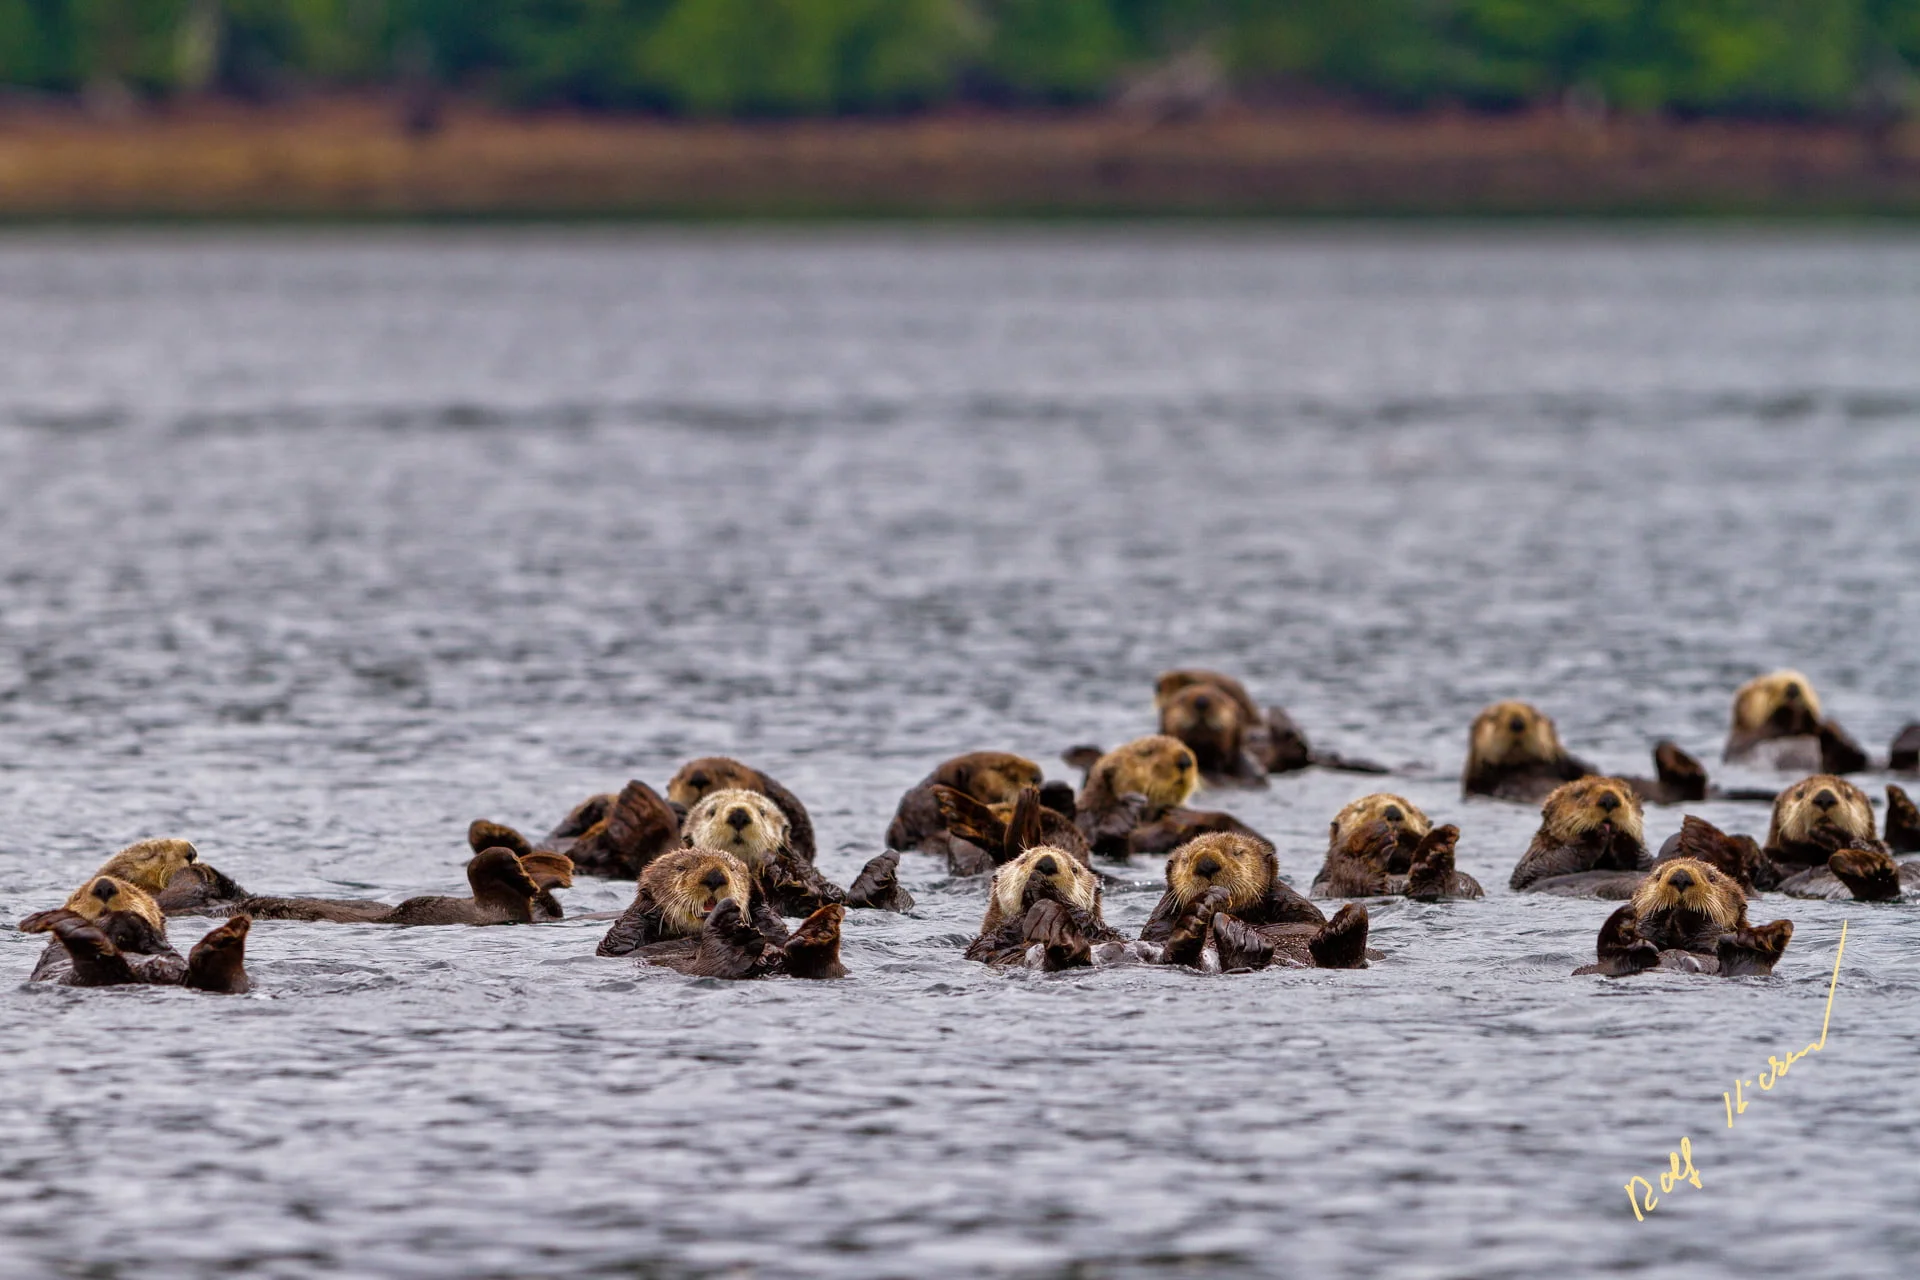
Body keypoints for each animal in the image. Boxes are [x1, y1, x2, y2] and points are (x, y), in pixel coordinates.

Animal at [965, 845, 1125, 971]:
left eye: (1074, 869)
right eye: (1023, 860)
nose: (1047, 863)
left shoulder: (1108, 934)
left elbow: (1100, 928)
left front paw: (1045, 890)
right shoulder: (984, 944)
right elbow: (989, 946)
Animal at [1140, 834, 1371, 970]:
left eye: (1238, 852)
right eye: (1186, 860)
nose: (1206, 864)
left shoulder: (1297, 907)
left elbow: (1307, 915)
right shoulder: (1158, 927)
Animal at [1508, 777, 1652, 897]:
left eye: (1626, 795)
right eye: (1578, 793)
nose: (1609, 799)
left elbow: (1645, 859)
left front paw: (1622, 834)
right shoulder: (1531, 865)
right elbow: (1550, 861)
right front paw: (1593, 833)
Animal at [1723, 670, 1868, 775]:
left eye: (1805, 684)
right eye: (1767, 688)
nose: (1793, 687)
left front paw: (1829, 726)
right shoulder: (1743, 740)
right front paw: (1790, 711)